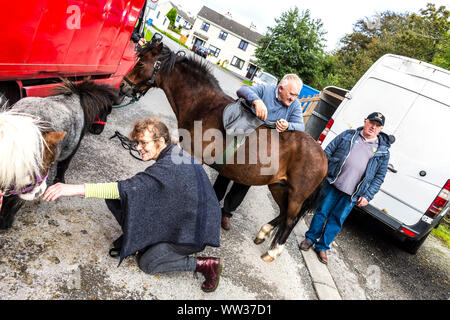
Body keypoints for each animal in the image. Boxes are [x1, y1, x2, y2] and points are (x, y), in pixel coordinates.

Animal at [123, 42, 326, 262]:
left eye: (141, 63)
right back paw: (262, 233)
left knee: (289, 220)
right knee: (282, 214)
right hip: (279, 186)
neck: (204, 107)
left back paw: (273, 251)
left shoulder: (194, 158)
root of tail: (323, 156)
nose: (124, 85)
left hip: (296, 196)